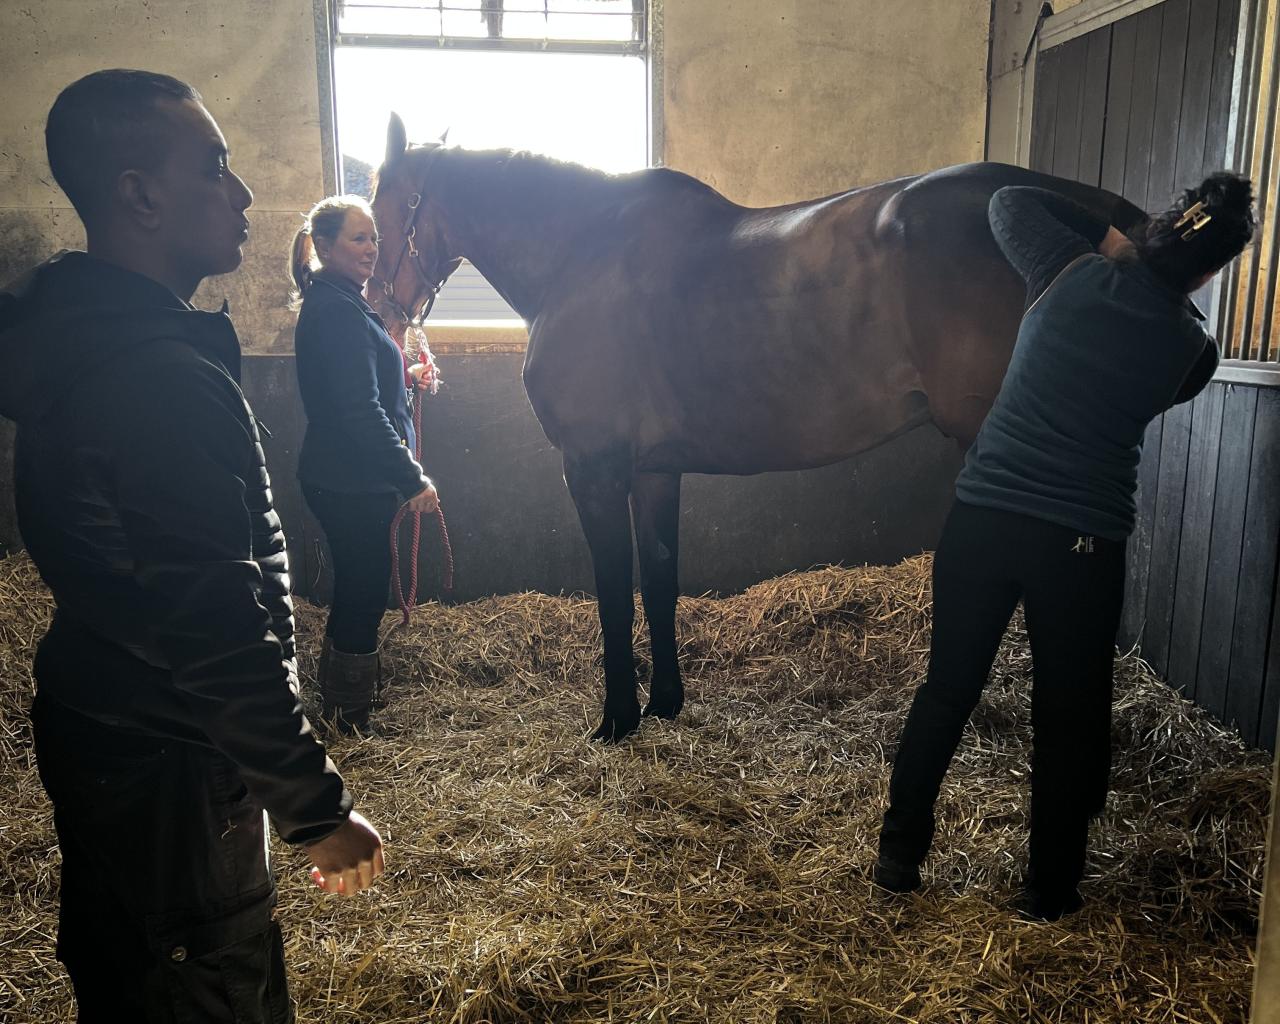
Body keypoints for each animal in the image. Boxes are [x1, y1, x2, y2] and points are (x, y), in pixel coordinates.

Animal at [369, 113, 1147, 742]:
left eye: (384, 202)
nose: (379, 306)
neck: (579, 255)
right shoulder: (655, 468)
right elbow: (659, 577)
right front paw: (665, 704)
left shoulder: (594, 467)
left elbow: (614, 592)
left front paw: (616, 720)